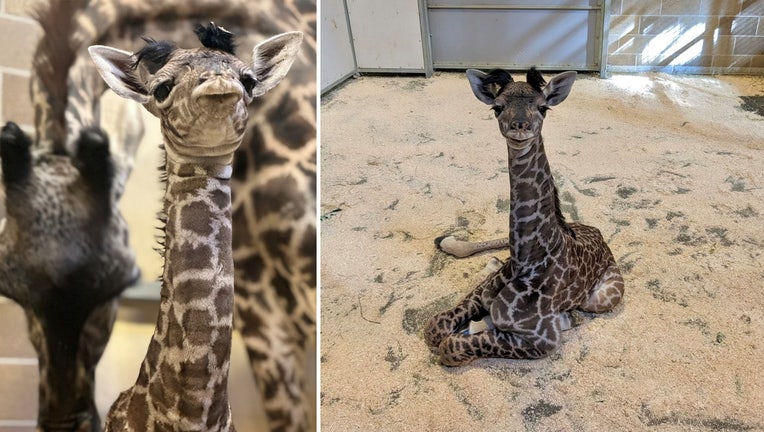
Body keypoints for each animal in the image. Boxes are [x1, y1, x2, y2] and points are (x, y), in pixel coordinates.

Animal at [424, 69, 628, 366]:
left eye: (543, 107)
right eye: (497, 107)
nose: (519, 128)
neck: (526, 262)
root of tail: (599, 233)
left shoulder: (544, 341)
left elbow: (451, 346)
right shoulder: (480, 293)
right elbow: (435, 327)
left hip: (603, 298)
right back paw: (453, 245)